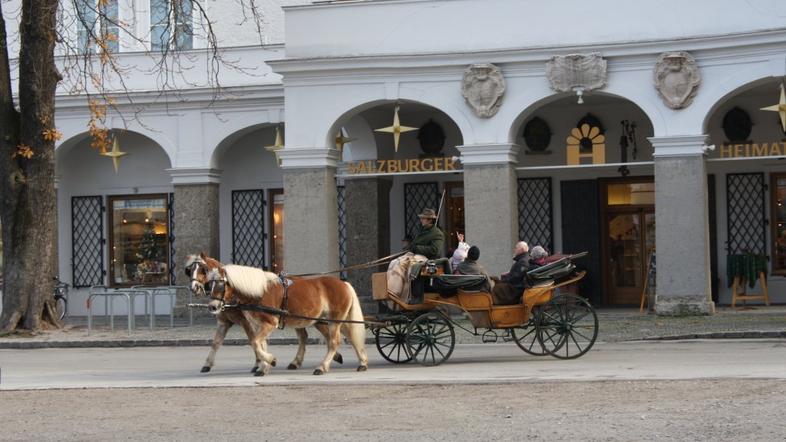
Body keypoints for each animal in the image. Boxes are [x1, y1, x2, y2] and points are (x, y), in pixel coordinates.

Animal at [187, 254, 368, 374]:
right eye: (210, 283)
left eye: (221, 284)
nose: (212, 306)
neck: (258, 292)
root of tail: (343, 284)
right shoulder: (255, 324)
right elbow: (258, 343)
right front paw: (263, 366)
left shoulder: (267, 323)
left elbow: (255, 342)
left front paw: (268, 361)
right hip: (326, 319)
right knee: (348, 336)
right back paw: (361, 361)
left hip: (334, 319)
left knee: (334, 341)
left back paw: (323, 366)